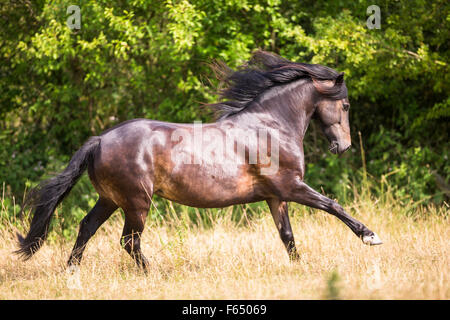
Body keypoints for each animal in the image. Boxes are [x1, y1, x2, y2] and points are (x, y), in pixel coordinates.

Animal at [15, 50, 382, 270]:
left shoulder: (275, 196)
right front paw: (370, 236)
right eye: (346, 105)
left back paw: (72, 272)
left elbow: (287, 235)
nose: (343, 147)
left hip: (110, 198)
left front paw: (299, 267)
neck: (271, 126)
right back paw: (152, 274)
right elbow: (333, 205)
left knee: (87, 227)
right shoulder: (291, 186)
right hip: (137, 202)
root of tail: (100, 140)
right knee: (128, 241)